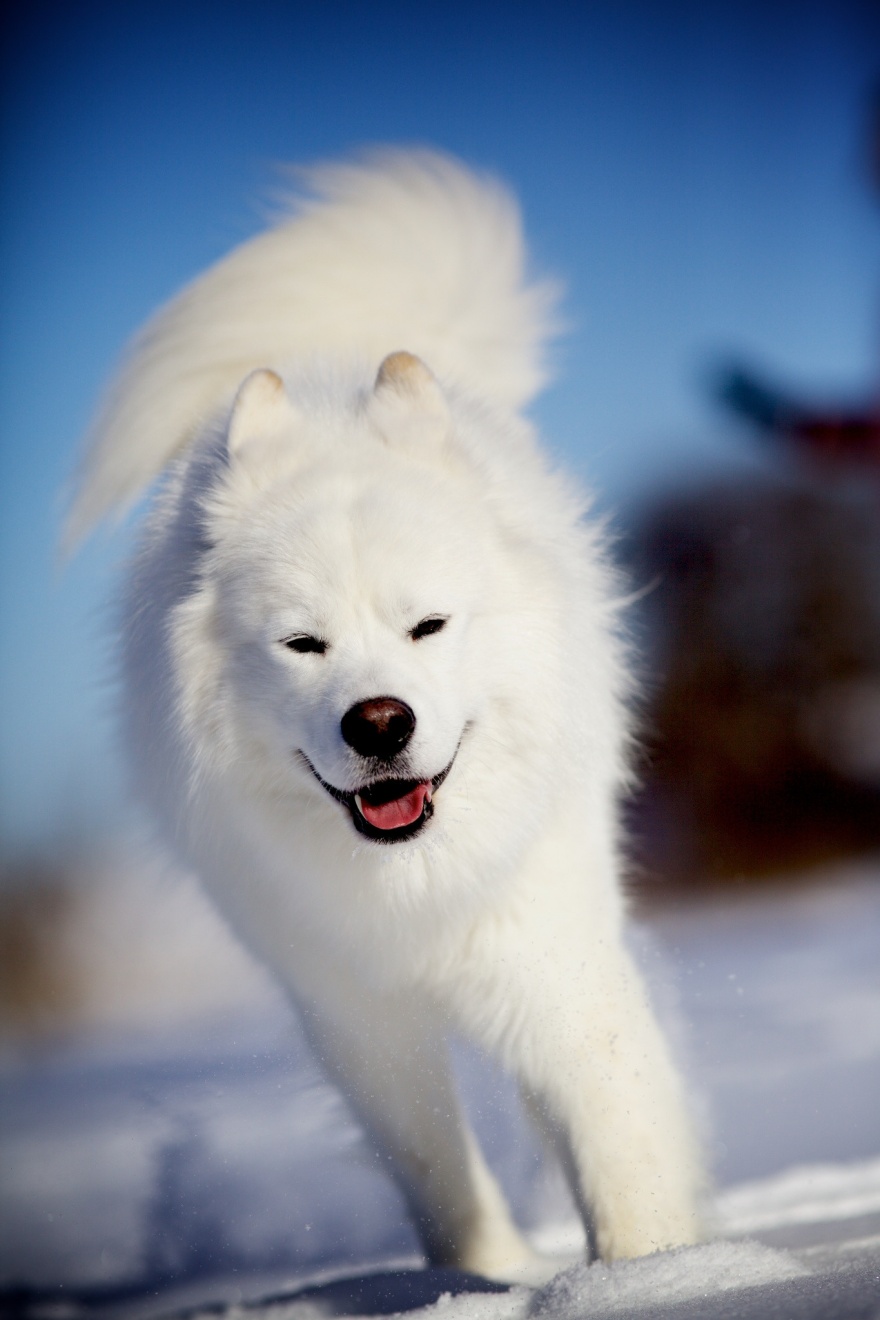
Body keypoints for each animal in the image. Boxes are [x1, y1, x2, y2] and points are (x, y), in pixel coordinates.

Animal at [67, 151, 701, 1277]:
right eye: (302, 644)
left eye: (426, 625)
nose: (378, 723)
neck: (413, 888)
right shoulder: (355, 1013)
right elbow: (435, 1168)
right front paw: (490, 1282)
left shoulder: (556, 967)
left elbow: (621, 1156)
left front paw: (657, 1277)